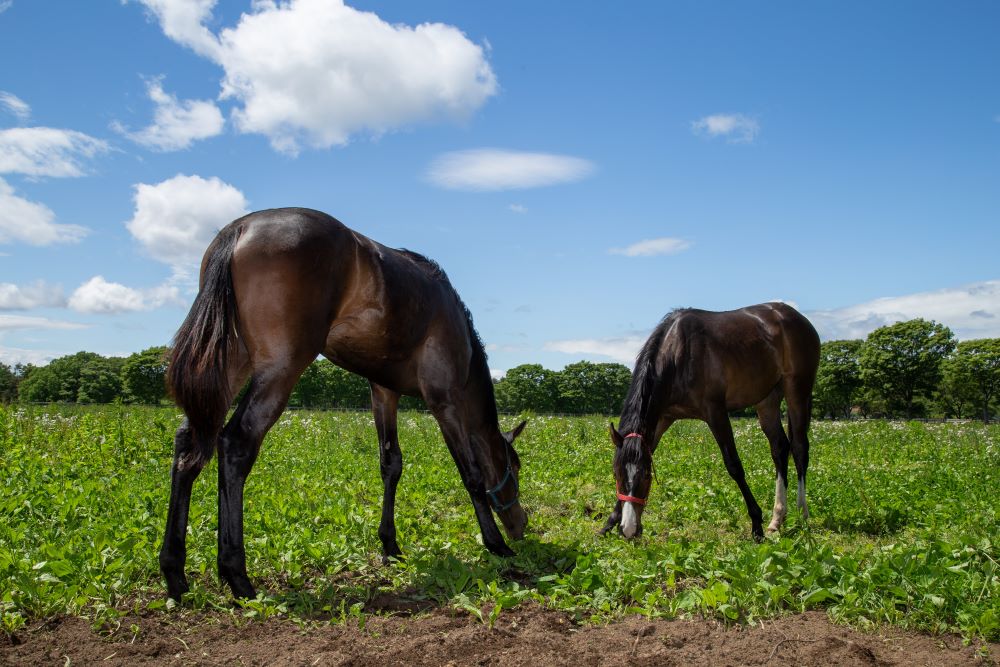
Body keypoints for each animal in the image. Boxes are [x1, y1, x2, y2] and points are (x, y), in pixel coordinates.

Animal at [159, 207, 528, 600]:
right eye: (516, 468)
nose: (522, 525)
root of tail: (239, 229)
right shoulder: (444, 400)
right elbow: (471, 473)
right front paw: (496, 544)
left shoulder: (383, 392)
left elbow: (391, 465)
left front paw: (390, 545)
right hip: (280, 369)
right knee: (235, 443)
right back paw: (236, 575)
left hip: (230, 364)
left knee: (190, 444)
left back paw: (175, 572)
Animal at [600, 302, 820, 544]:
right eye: (616, 473)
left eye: (647, 475)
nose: (629, 530)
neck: (678, 354)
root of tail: (795, 316)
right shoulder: (661, 419)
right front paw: (609, 523)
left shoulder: (715, 412)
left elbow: (734, 466)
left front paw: (756, 524)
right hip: (767, 400)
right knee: (780, 448)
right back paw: (777, 519)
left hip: (797, 390)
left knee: (799, 449)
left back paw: (802, 516)